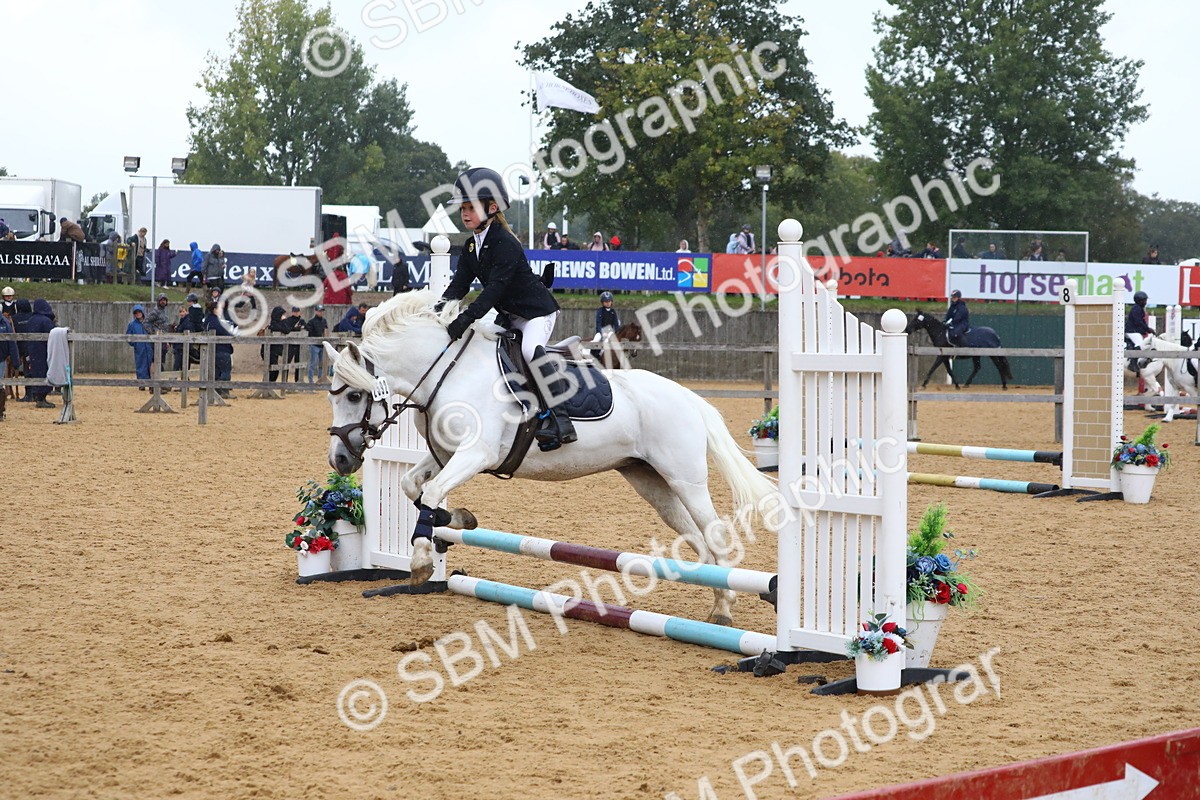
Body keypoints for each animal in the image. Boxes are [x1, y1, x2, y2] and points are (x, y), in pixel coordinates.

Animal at [322, 290, 778, 626]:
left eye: (354, 396)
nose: (340, 460)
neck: (448, 372)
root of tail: (688, 397)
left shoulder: (476, 454)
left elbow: (431, 492)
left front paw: (419, 560)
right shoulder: (447, 455)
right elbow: (413, 485)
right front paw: (459, 521)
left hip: (685, 478)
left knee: (714, 533)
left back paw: (724, 609)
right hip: (650, 481)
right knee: (696, 539)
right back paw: (718, 603)